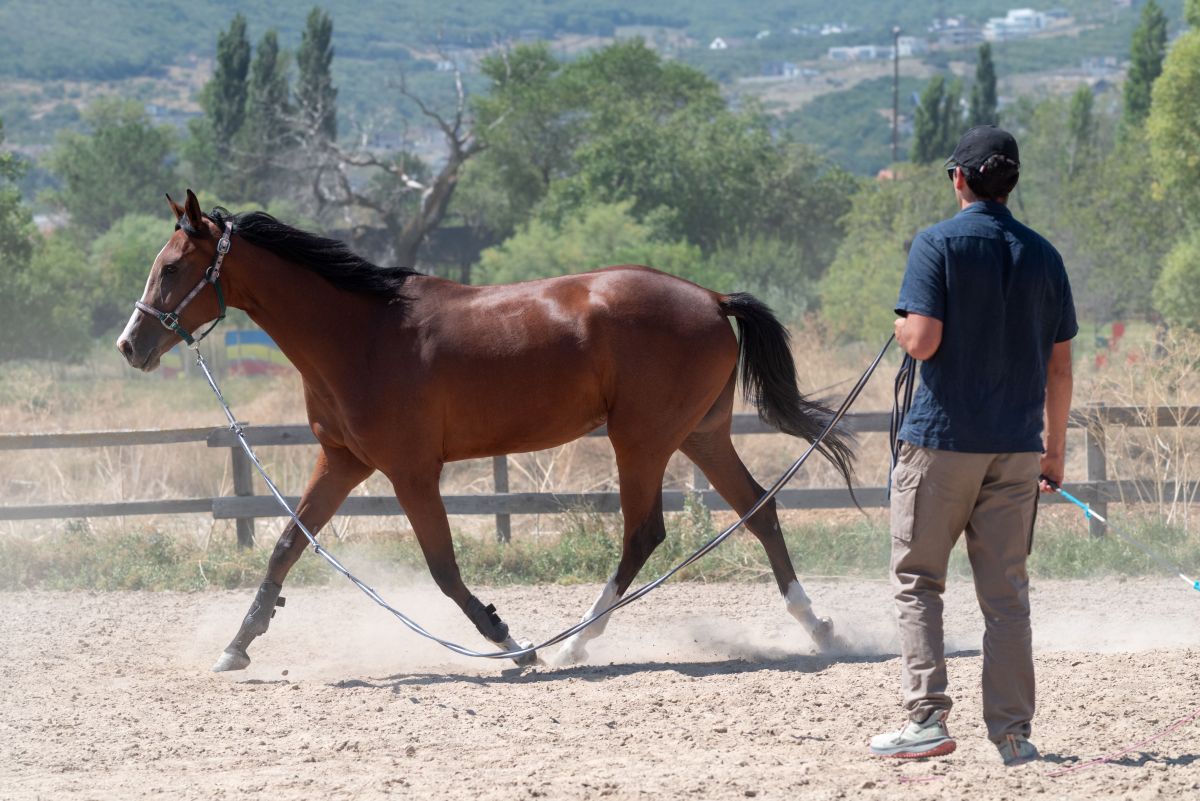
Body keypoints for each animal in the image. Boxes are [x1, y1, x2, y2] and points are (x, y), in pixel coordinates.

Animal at [117, 190, 855, 671]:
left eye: (172, 267)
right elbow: (284, 547)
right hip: (700, 435)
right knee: (760, 511)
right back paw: (819, 629)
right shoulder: (342, 462)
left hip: (641, 441)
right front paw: (237, 645)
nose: (130, 345)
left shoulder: (412, 471)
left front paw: (512, 643)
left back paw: (575, 641)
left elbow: (444, 569)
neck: (361, 334)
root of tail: (711, 297)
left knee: (644, 533)